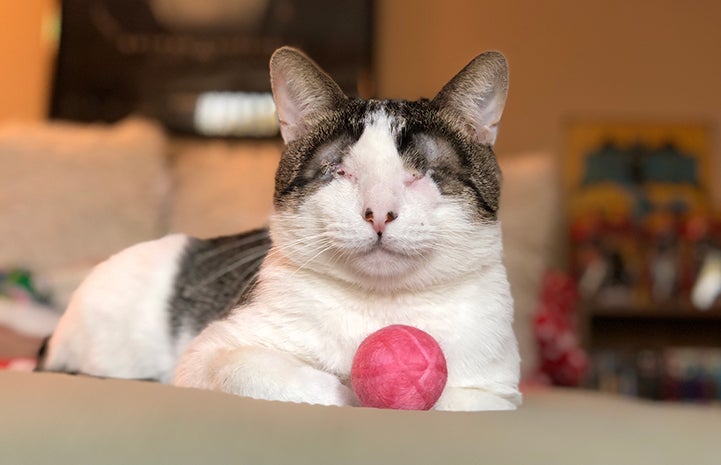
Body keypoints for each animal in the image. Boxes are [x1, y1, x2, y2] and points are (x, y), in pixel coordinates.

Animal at [38, 46, 516, 410]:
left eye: (422, 175)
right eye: (340, 171)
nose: (378, 213)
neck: (379, 307)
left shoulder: (498, 391)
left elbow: (458, 400)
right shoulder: (210, 354)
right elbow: (281, 378)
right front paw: (347, 391)